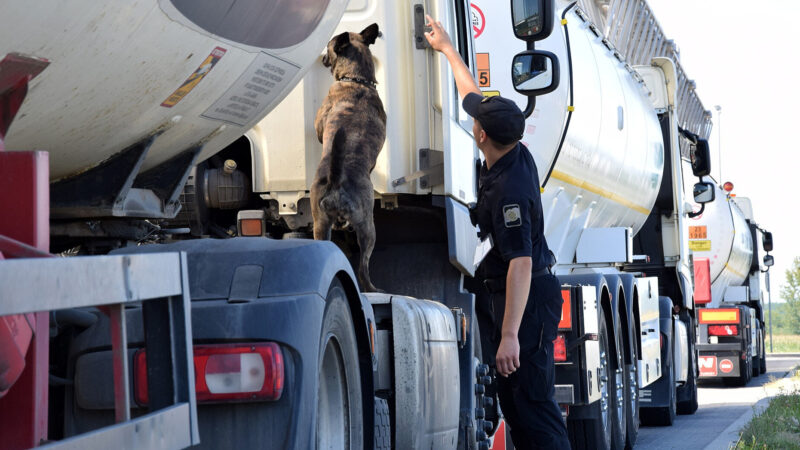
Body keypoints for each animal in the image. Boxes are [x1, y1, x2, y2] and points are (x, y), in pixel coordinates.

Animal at [312, 23, 388, 292]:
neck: (356, 81)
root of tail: (337, 181)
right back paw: (374, 289)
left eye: (328, 47)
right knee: (363, 269)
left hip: (322, 223)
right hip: (367, 228)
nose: (322, 57)